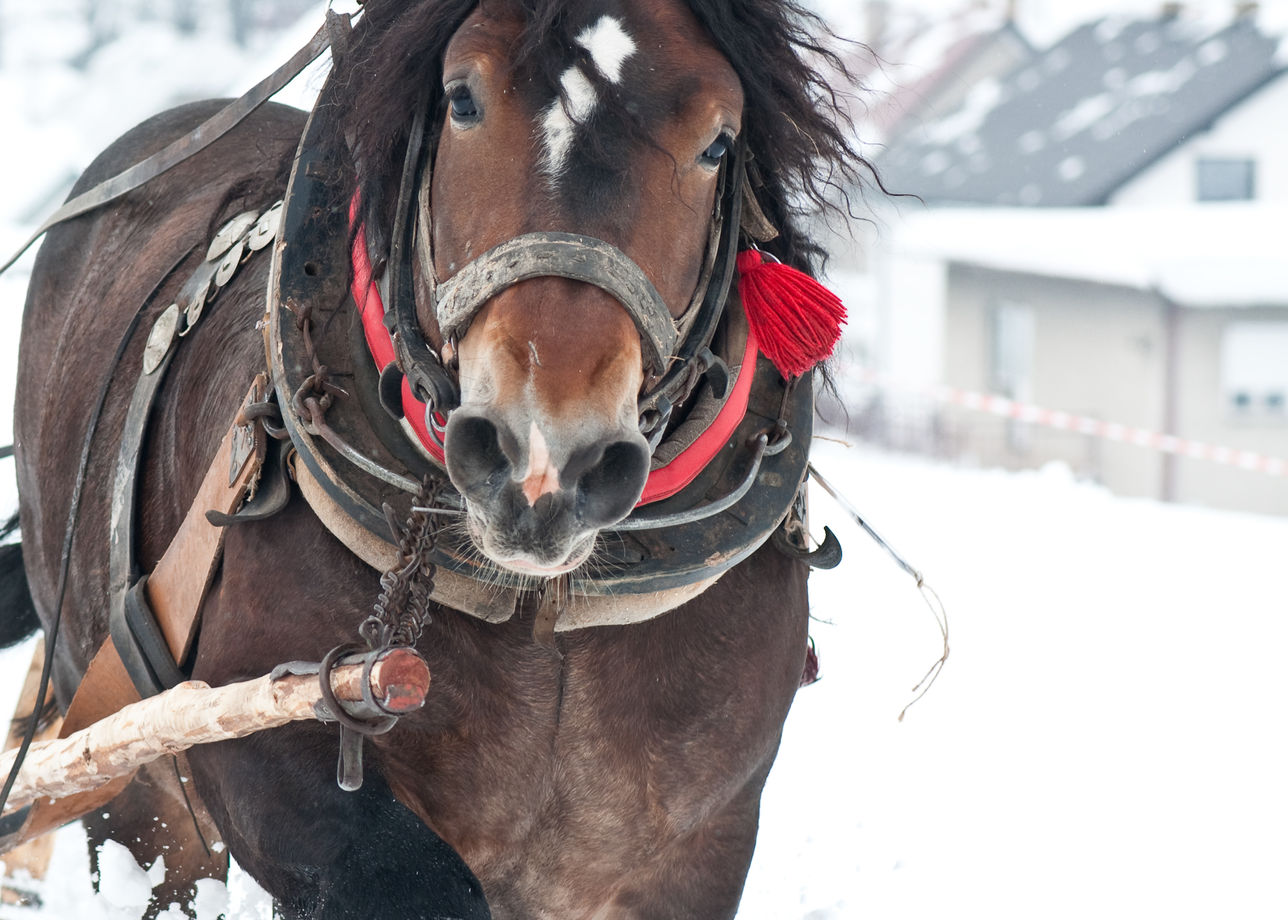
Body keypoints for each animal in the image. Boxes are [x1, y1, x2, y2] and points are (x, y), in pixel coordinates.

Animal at [2, 1, 875, 917]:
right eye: (461, 98)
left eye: (717, 141)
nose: (545, 461)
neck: (540, 601)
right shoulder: (259, 737)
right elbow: (407, 872)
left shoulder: (701, 842)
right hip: (135, 779)